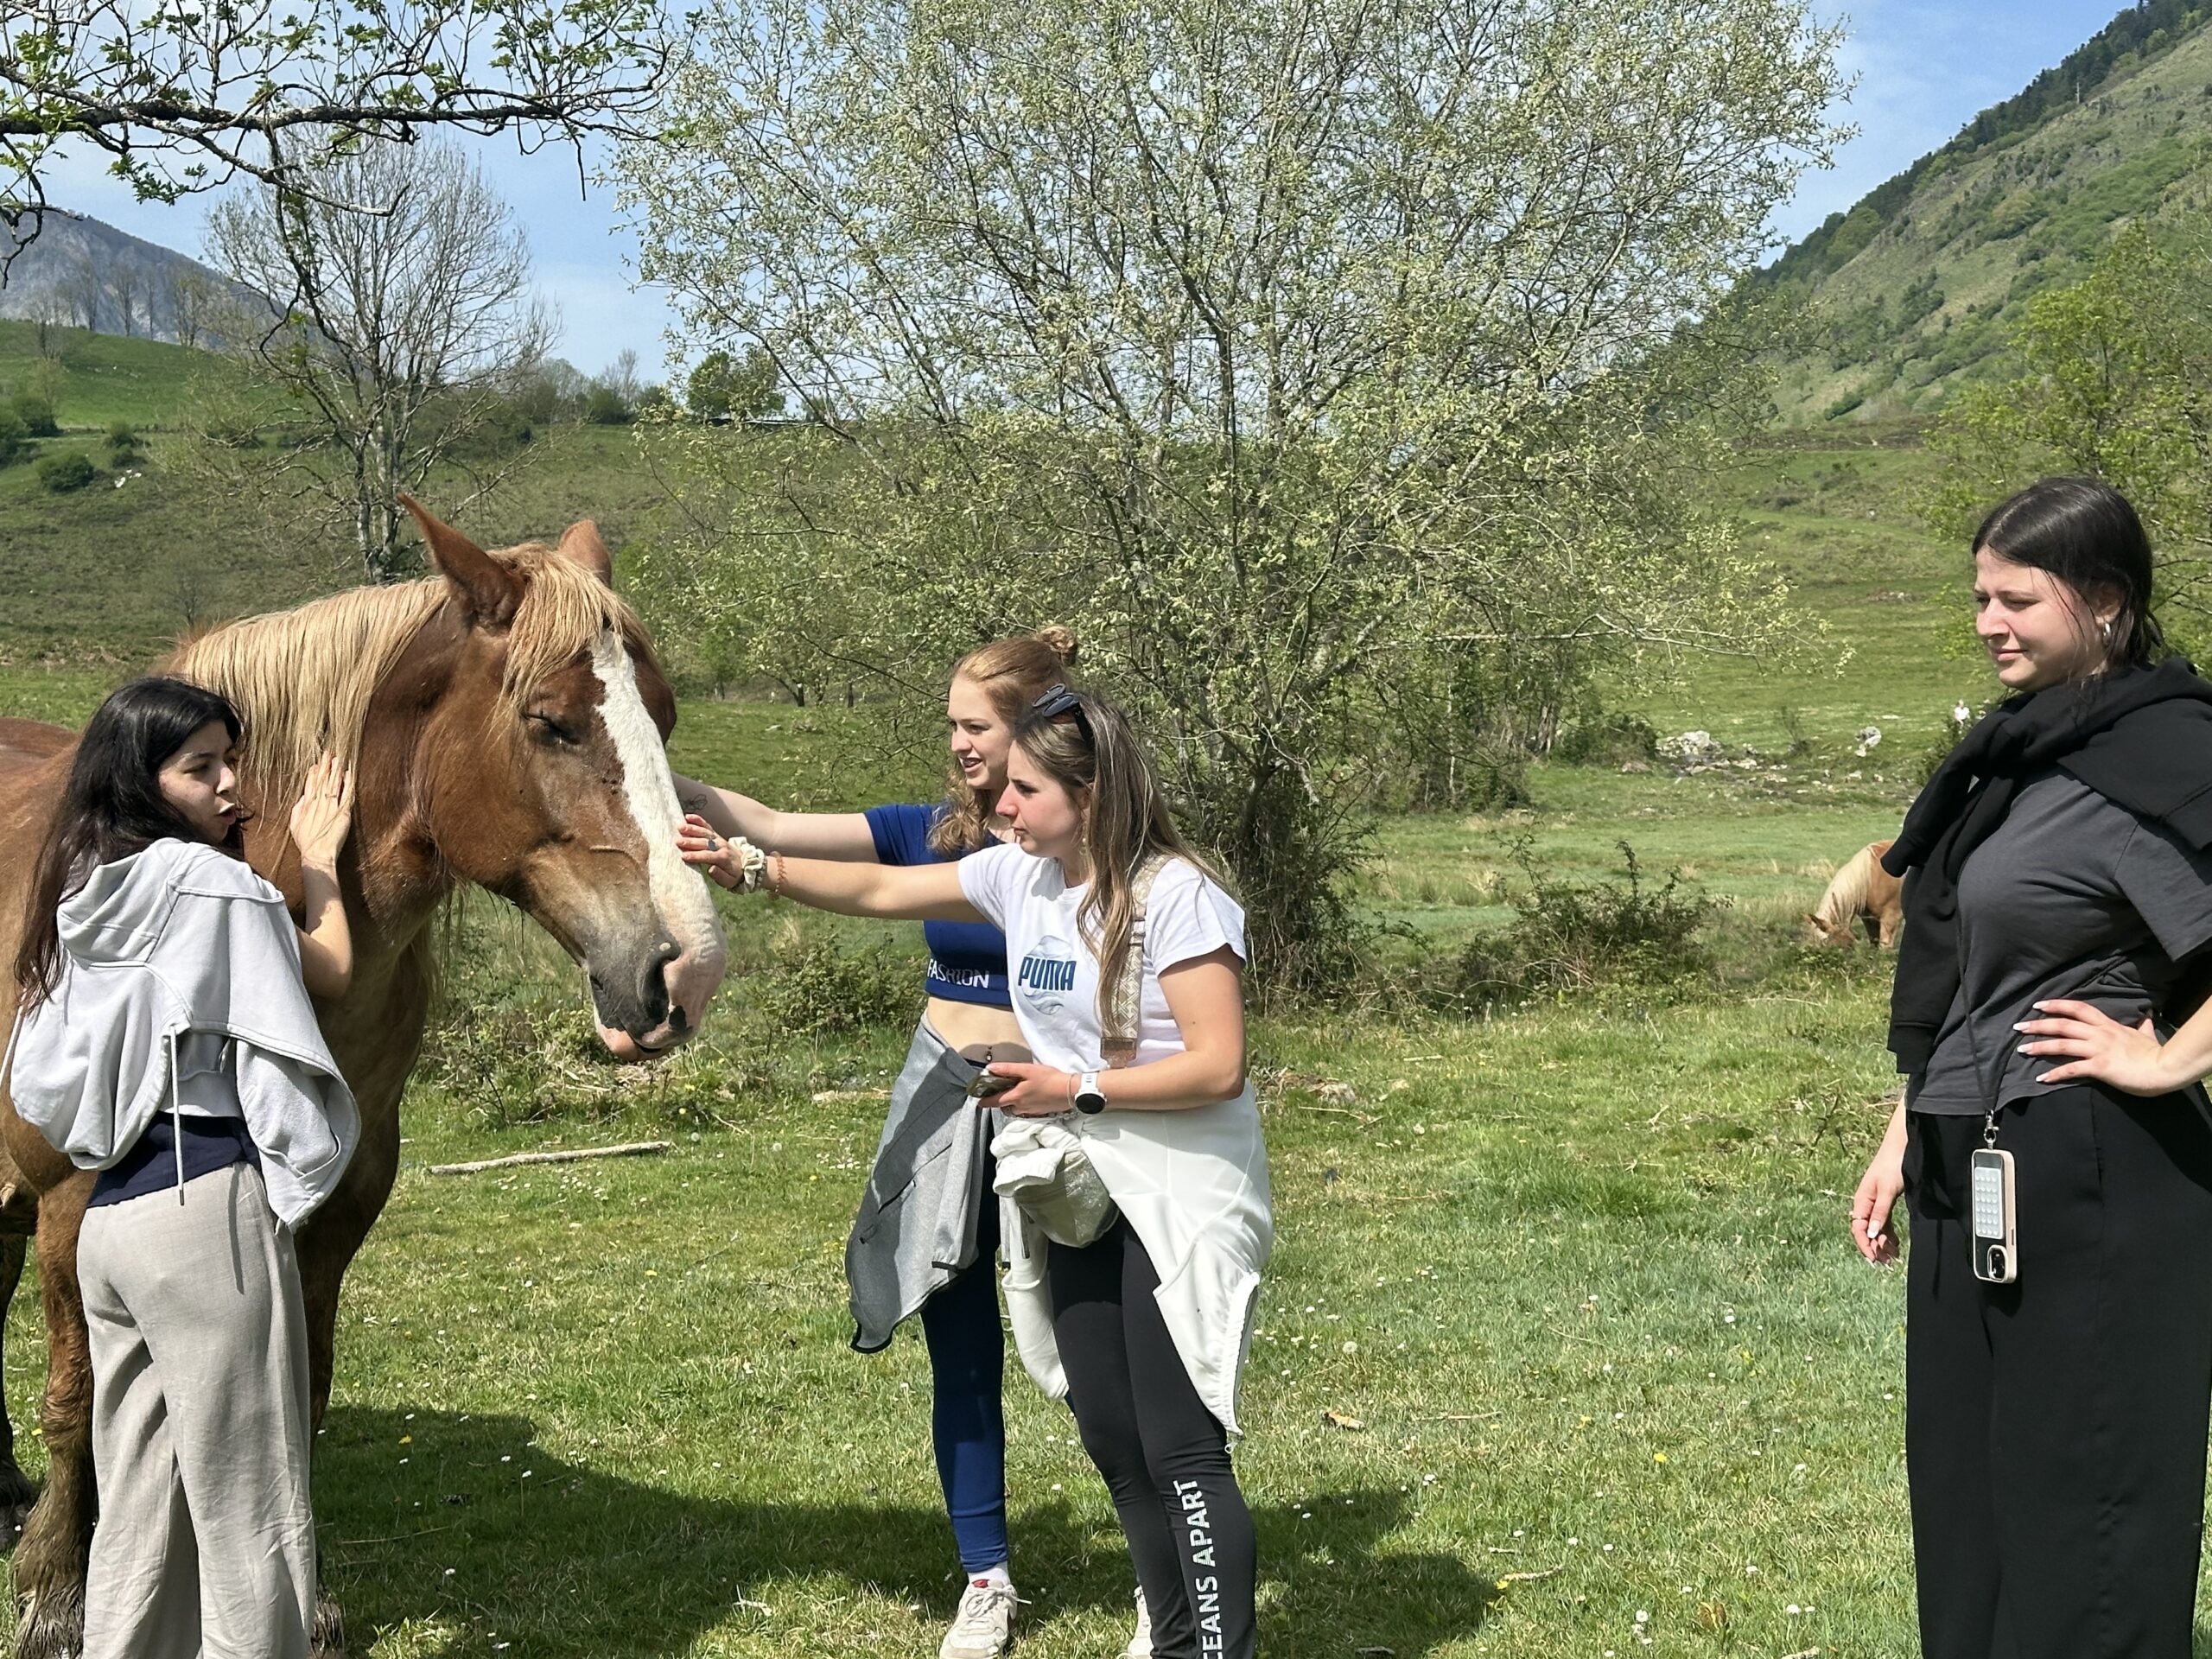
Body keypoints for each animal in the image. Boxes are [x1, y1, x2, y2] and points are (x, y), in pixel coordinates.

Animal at [0, 496, 728, 1657]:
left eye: (661, 714)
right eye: (552, 723)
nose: (688, 970)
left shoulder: (333, 1201)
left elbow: (298, 1393)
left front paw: (301, 1598)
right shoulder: (75, 1200)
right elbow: (76, 1401)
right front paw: (57, 1596)